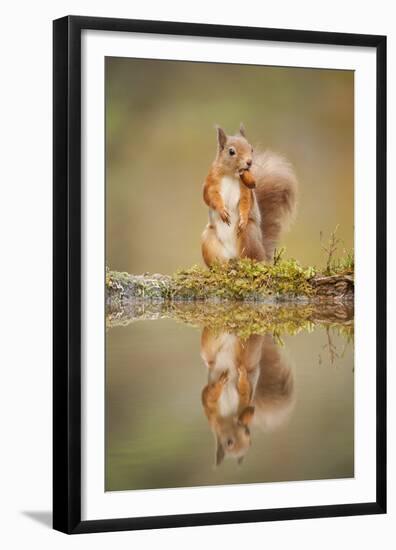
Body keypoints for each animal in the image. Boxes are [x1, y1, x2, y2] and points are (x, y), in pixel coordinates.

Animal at [201, 125, 296, 268]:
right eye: (231, 151)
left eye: (251, 148)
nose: (249, 162)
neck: (232, 174)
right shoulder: (210, 182)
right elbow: (209, 197)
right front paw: (222, 211)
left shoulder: (246, 190)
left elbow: (245, 203)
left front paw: (243, 218)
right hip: (208, 240)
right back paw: (223, 266)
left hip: (249, 234)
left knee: (251, 257)